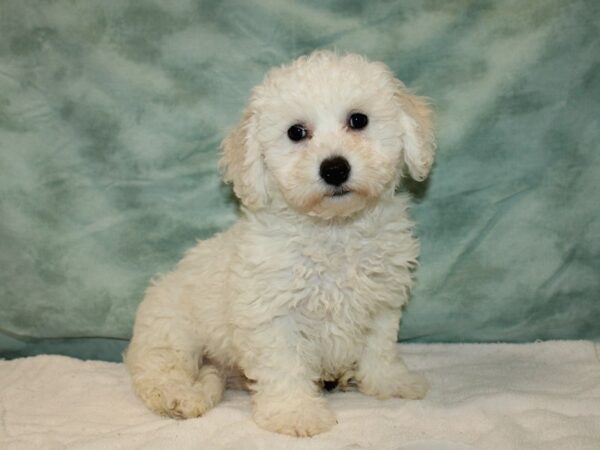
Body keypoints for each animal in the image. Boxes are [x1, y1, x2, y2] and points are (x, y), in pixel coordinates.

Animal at [125, 51, 436, 438]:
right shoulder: (272, 315)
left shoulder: (380, 303)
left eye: (358, 120)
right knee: (158, 370)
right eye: (296, 132)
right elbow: (284, 366)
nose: (335, 169)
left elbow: (380, 349)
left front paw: (390, 382)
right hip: (172, 332)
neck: (333, 231)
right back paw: (179, 396)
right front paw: (295, 412)